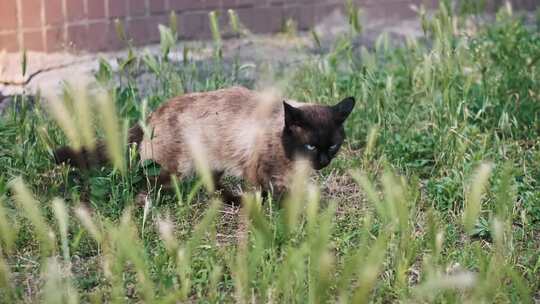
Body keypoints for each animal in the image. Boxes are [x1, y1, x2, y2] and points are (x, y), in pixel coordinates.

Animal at [57, 86, 356, 203]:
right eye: (311, 147)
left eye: (332, 147)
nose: (322, 163)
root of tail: (151, 114)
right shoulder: (262, 171)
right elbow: (273, 194)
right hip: (174, 169)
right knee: (147, 183)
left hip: (213, 162)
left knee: (212, 186)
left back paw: (234, 200)